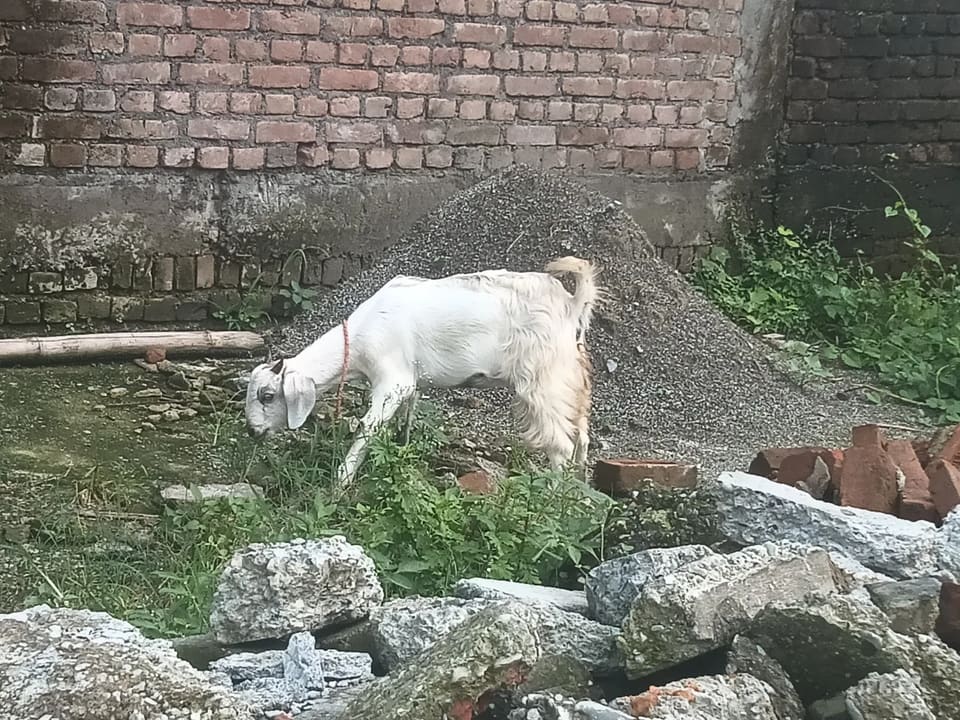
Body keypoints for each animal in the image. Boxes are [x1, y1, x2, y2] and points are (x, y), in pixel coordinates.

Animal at [244, 256, 600, 492]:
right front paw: (402, 454)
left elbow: (367, 428)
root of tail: (571, 303)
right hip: (571, 375)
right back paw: (578, 493)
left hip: (543, 379)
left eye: (268, 395)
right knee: (581, 435)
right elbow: (406, 419)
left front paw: (339, 484)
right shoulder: (411, 383)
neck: (359, 335)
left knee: (560, 444)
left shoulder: (392, 381)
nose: (251, 431)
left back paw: (552, 497)